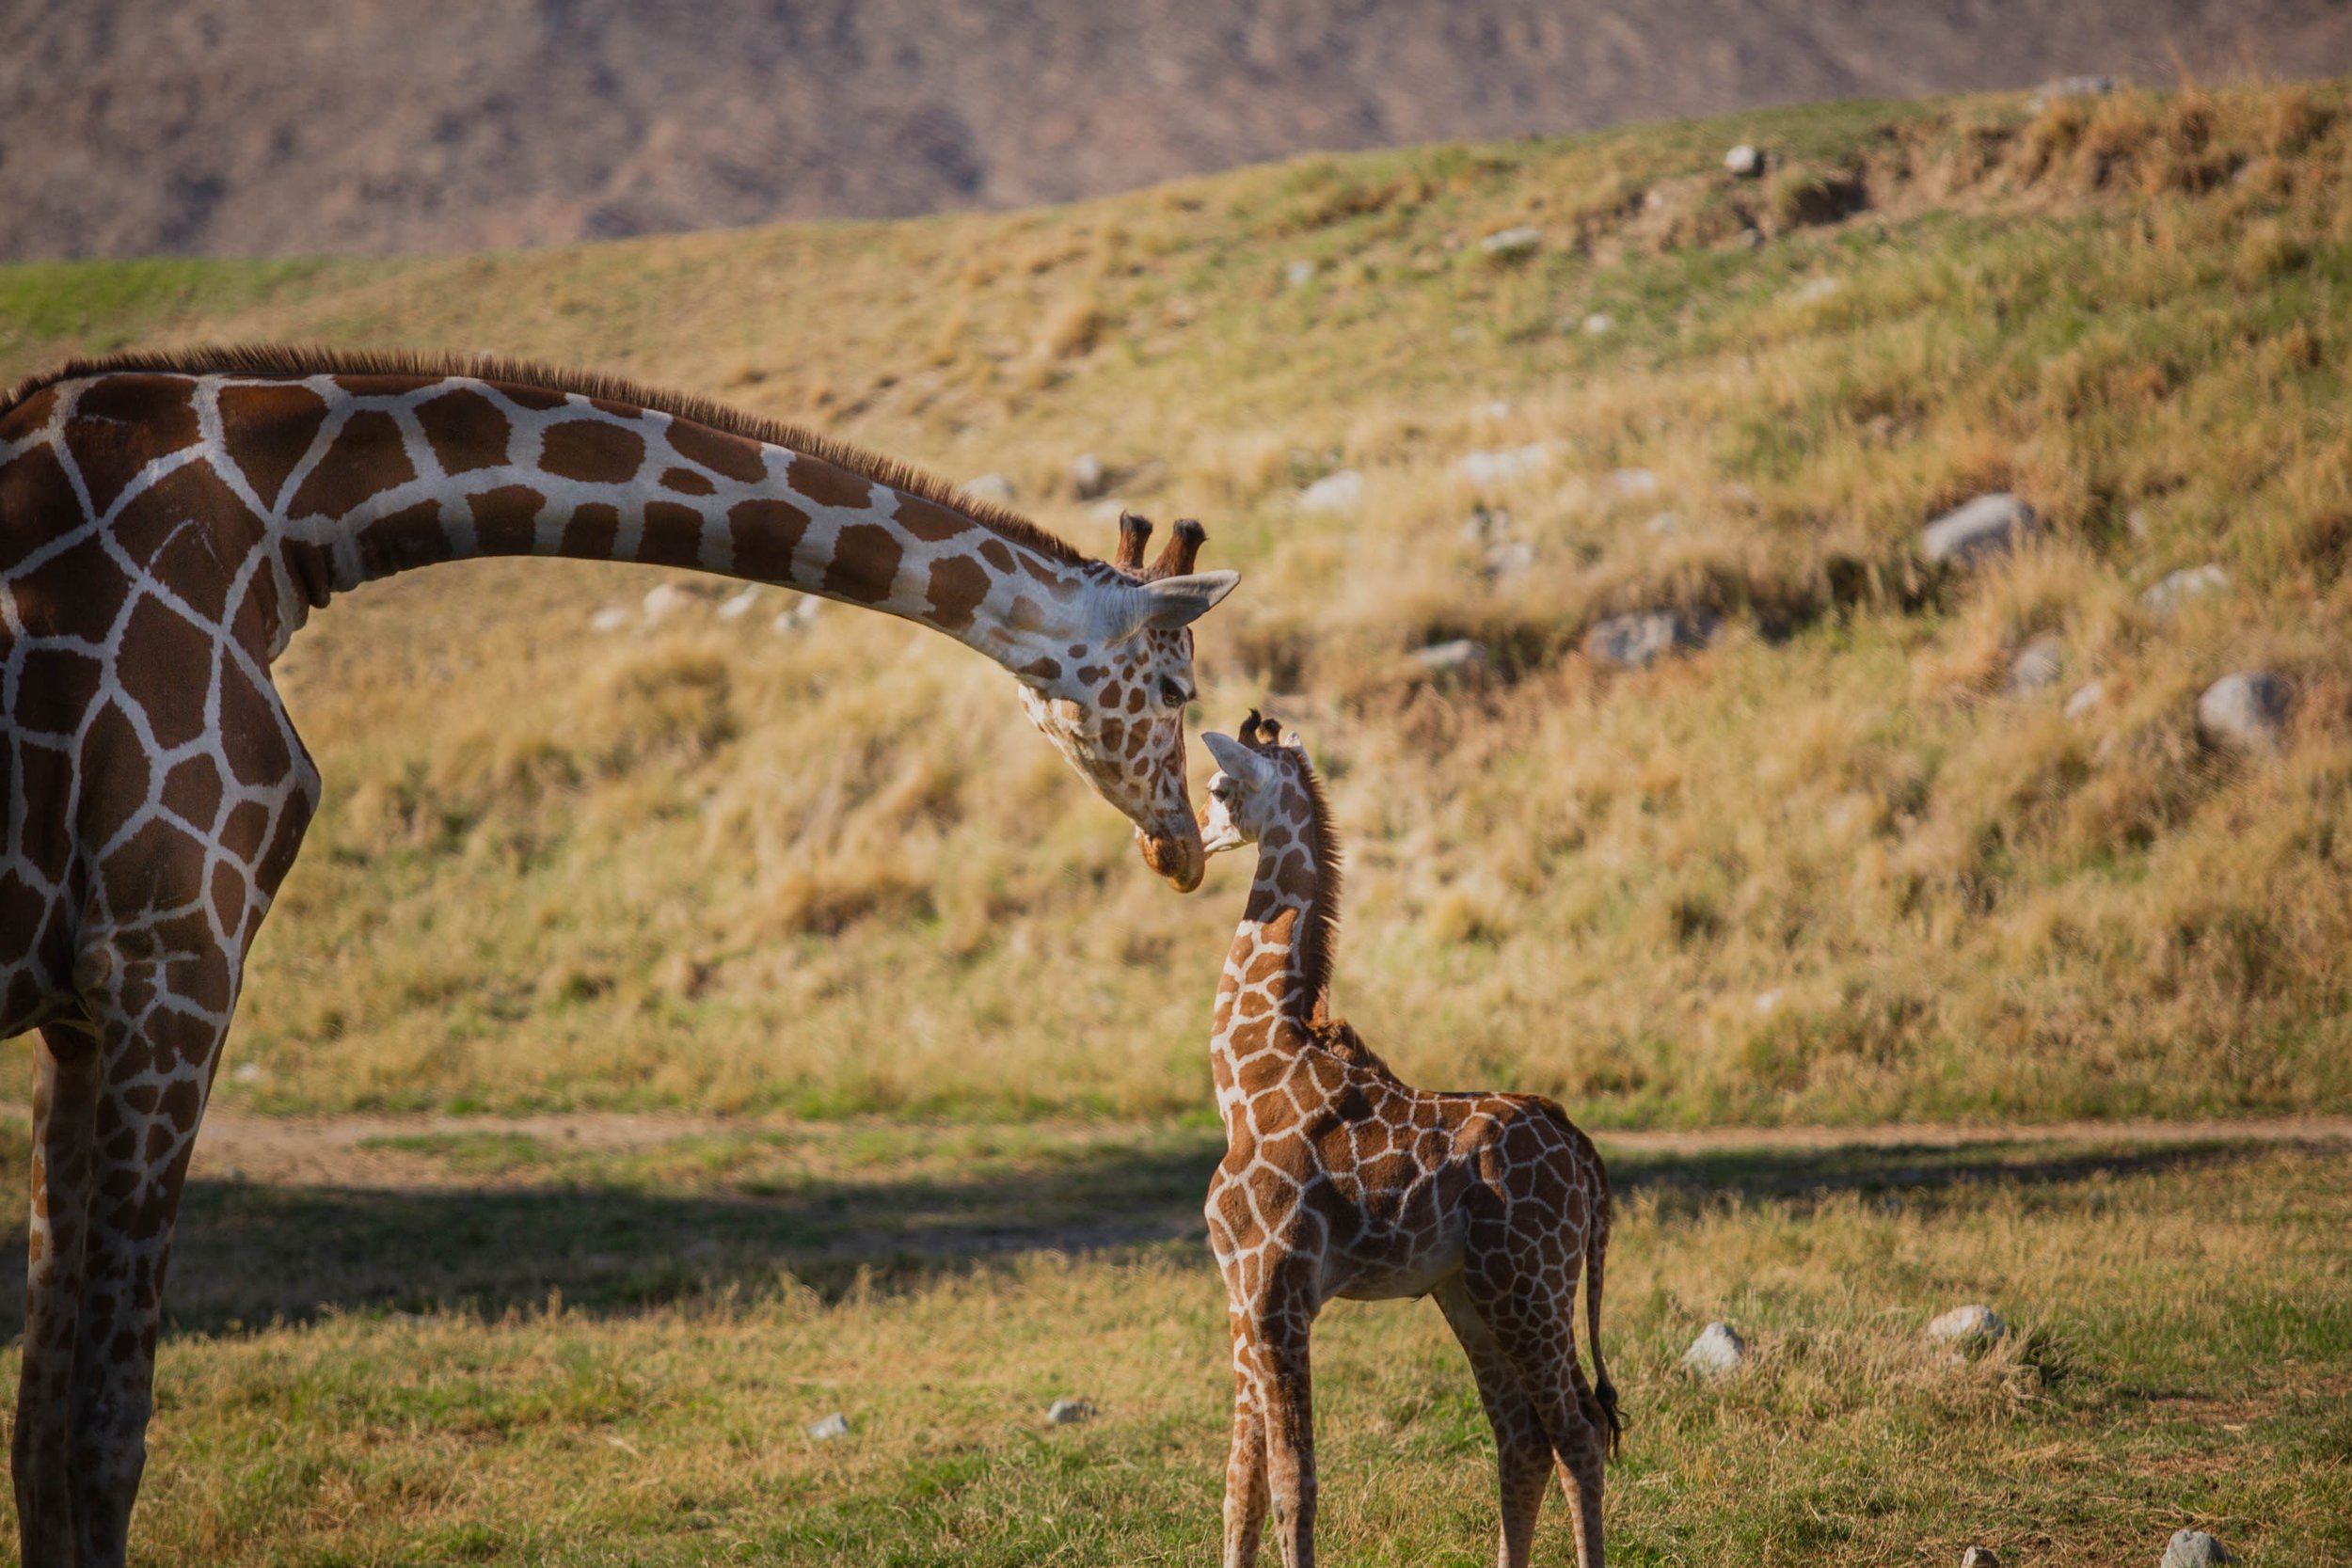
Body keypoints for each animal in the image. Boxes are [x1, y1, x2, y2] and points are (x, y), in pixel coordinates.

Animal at [0, 345, 1242, 1568]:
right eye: (1175, 685)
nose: (1181, 846)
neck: (283, 519)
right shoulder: (173, 950)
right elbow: (107, 1425)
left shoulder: (83, 1009)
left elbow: (41, 1425)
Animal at [1195, 714, 1618, 1568]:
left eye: (1221, 785)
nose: (1180, 843)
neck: (1248, 1077)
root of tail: (1584, 1153)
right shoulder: (1240, 1295)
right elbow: (1240, 1484)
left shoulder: (1277, 1290)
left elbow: (1292, 1481)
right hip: (1471, 1292)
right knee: (1523, 1439)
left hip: (1531, 1285)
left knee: (1578, 1431)